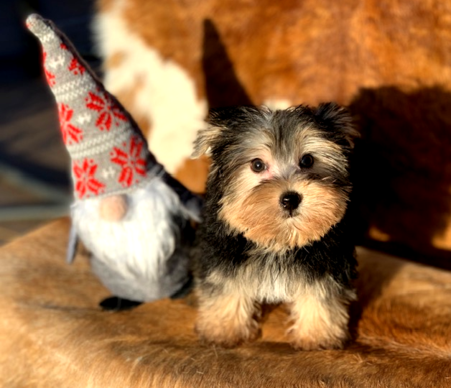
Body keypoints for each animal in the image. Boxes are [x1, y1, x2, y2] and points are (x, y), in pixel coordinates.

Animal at [192, 104, 360, 352]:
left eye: (307, 160)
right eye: (257, 165)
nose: (290, 199)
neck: (279, 241)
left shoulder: (327, 260)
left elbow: (320, 291)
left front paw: (317, 336)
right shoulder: (224, 254)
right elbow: (226, 286)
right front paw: (222, 330)